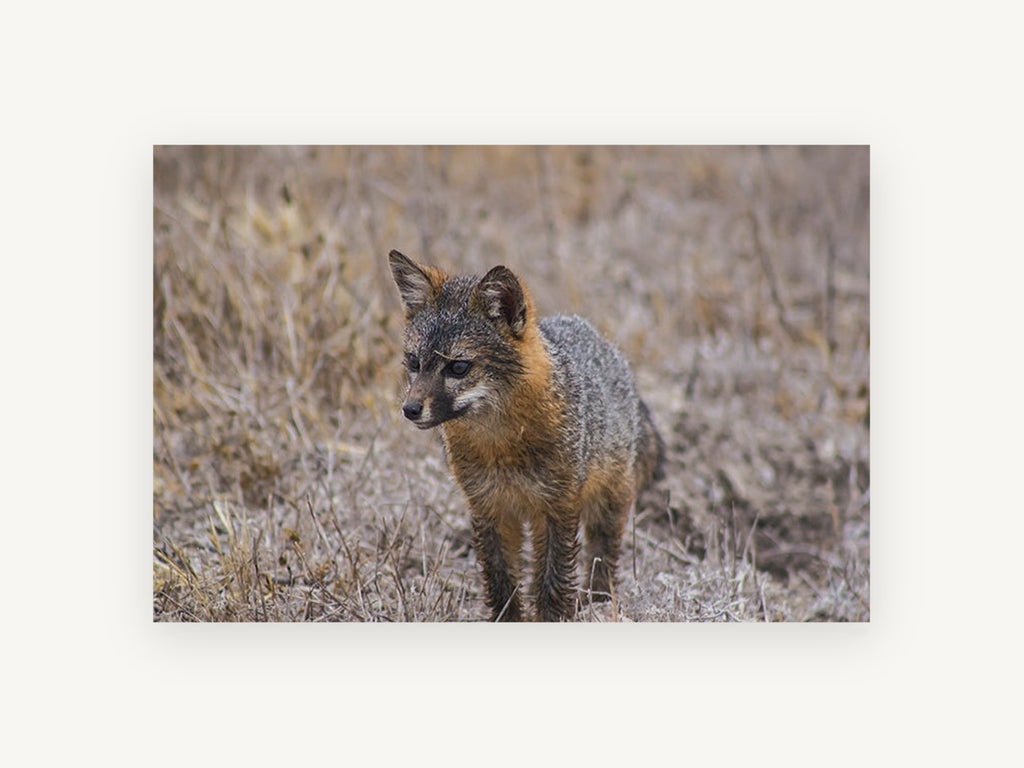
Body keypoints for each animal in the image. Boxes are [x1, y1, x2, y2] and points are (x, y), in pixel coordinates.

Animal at [388, 249, 664, 621]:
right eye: (414, 362)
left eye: (458, 367)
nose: (410, 409)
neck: (502, 448)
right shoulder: (489, 507)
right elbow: (501, 579)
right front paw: (510, 619)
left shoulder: (558, 506)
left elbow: (555, 579)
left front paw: (553, 617)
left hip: (606, 502)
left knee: (602, 556)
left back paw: (599, 602)